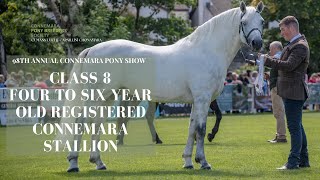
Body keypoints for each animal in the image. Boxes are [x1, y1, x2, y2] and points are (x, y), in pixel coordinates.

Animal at [58, 0, 264, 171]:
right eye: (244, 22)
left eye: (261, 21)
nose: (257, 43)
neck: (206, 51)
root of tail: (93, 49)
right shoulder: (203, 99)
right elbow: (201, 129)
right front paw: (203, 162)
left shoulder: (195, 102)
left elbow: (191, 129)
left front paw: (188, 161)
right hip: (96, 95)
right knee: (81, 122)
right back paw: (73, 163)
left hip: (108, 97)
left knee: (97, 124)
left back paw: (99, 162)